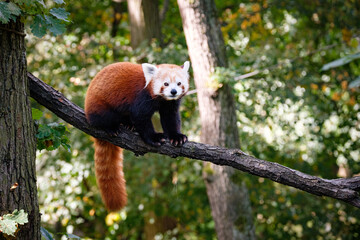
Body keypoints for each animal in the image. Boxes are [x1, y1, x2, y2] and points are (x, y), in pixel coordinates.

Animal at [84, 61, 191, 211]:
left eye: (179, 83)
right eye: (166, 84)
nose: (173, 92)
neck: (161, 98)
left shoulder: (169, 104)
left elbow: (170, 117)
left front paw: (176, 137)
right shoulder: (142, 97)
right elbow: (141, 117)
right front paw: (154, 138)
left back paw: (128, 125)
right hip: (99, 105)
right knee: (104, 118)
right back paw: (111, 127)